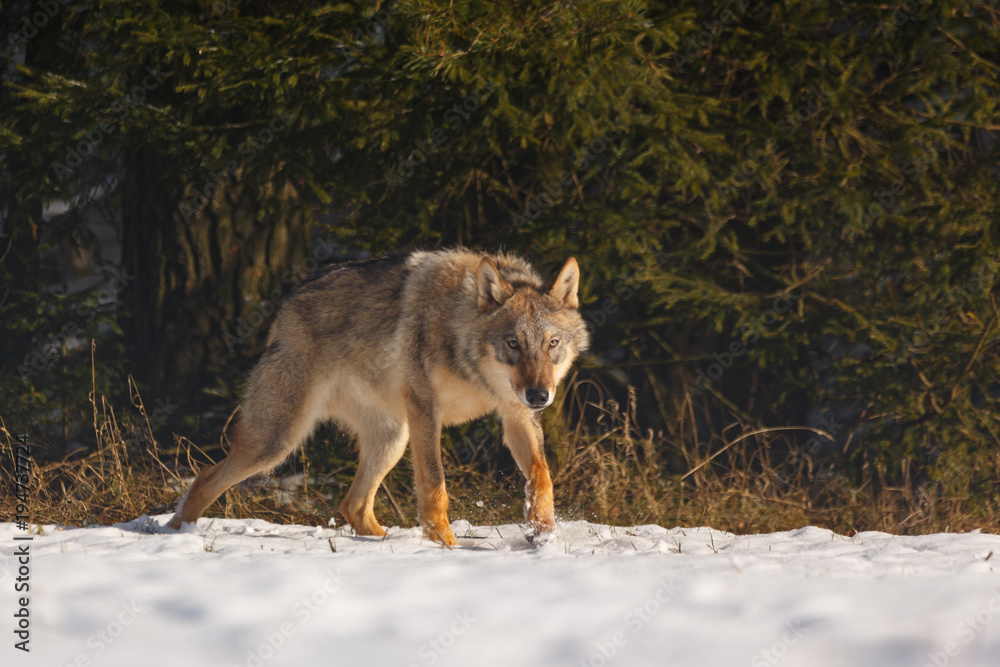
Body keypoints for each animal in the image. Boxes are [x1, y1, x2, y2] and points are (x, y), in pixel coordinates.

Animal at [166, 248, 589, 545]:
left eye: (552, 343)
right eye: (513, 343)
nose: (540, 395)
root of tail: (285, 307)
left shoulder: (516, 414)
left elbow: (542, 477)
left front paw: (543, 534)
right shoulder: (425, 411)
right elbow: (435, 487)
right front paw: (447, 547)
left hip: (391, 440)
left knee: (352, 504)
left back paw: (383, 544)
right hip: (277, 443)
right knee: (205, 477)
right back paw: (174, 535)